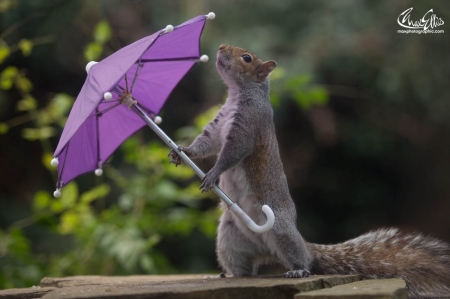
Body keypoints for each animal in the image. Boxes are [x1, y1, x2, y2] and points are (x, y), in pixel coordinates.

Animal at [169, 44, 450, 299]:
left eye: (247, 58)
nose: (221, 47)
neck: (239, 95)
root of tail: (268, 249)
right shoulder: (218, 127)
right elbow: (206, 143)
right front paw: (182, 152)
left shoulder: (248, 126)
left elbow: (231, 153)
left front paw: (212, 174)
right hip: (229, 238)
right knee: (244, 268)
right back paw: (226, 275)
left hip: (280, 230)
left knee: (303, 260)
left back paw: (298, 270)